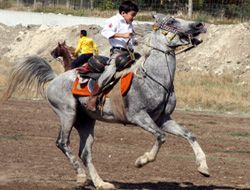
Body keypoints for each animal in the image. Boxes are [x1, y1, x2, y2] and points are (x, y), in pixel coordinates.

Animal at [2, 14, 209, 189]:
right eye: (172, 21)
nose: (199, 25)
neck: (153, 78)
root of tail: (54, 79)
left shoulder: (163, 118)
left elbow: (190, 135)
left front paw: (203, 168)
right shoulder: (139, 116)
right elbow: (160, 136)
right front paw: (142, 161)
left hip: (85, 121)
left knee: (85, 152)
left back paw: (101, 183)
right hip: (67, 113)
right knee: (62, 143)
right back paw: (81, 177)